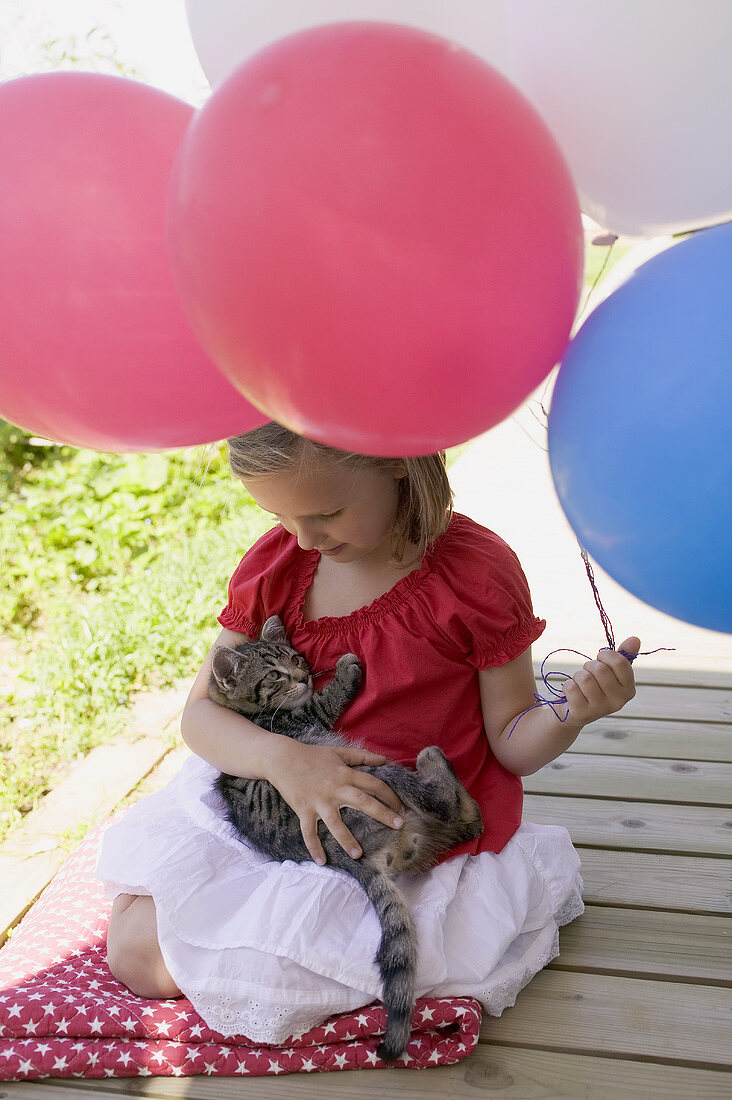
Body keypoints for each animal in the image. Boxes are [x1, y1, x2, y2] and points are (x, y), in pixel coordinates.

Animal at [208, 616, 482, 1060]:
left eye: (295, 659)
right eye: (273, 674)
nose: (304, 675)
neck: (251, 715)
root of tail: (348, 859)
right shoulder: (305, 718)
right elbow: (326, 699)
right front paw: (345, 671)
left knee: (467, 822)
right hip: (375, 775)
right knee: (445, 805)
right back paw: (432, 761)